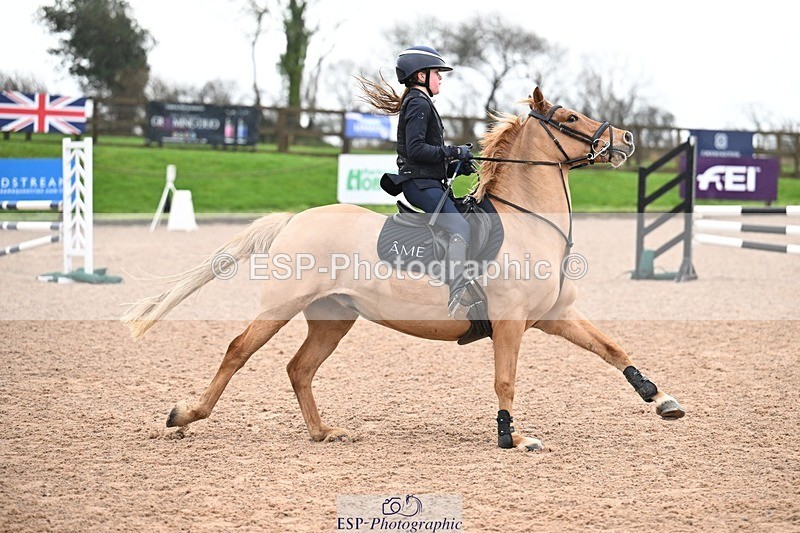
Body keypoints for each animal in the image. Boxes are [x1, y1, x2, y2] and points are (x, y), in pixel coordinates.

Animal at [122, 86, 684, 451]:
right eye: (568, 118)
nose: (627, 139)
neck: (528, 223)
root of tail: (296, 219)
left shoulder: (554, 316)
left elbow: (613, 349)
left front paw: (662, 400)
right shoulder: (510, 323)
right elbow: (505, 379)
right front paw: (512, 436)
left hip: (333, 317)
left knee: (299, 368)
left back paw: (324, 433)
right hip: (282, 305)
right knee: (238, 351)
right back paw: (186, 415)